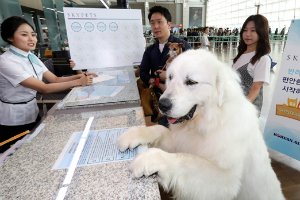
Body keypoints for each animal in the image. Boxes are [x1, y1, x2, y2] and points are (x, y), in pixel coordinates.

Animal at [116, 49, 284, 199]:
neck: (207, 122)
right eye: (170, 77)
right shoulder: (180, 141)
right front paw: (133, 134)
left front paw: (150, 158)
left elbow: (185, 159)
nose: (162, 105)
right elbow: (159, 129)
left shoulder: (225, 180)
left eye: (191, 82)